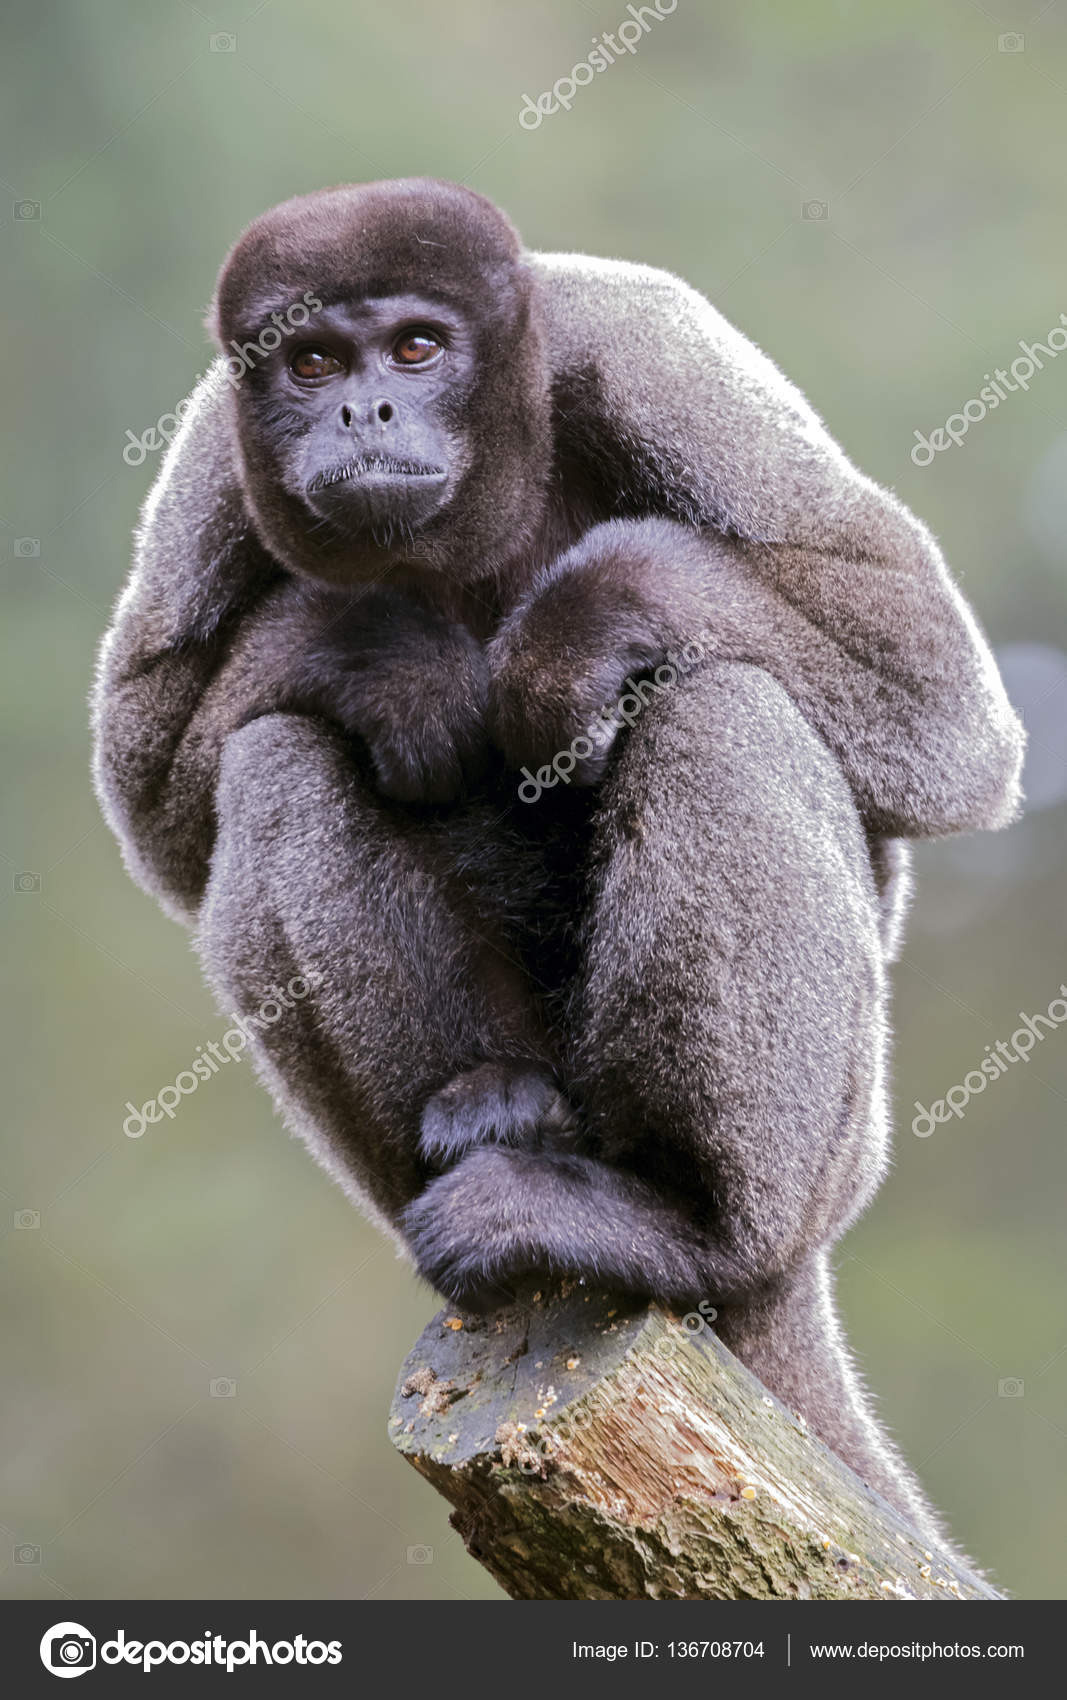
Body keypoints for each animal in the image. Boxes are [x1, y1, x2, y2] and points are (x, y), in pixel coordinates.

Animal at [92, 179, 1023, 1542]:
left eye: (417, 348)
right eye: (310, 364)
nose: (362, 411)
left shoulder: (636, 345)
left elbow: (933, 686)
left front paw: (562, 646)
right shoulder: (219, 449)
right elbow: (154, 787)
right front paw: (387, 653)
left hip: (839, 1147)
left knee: (717, 704)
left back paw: (689, 1226)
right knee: (272, 760)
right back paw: (493, 1106)